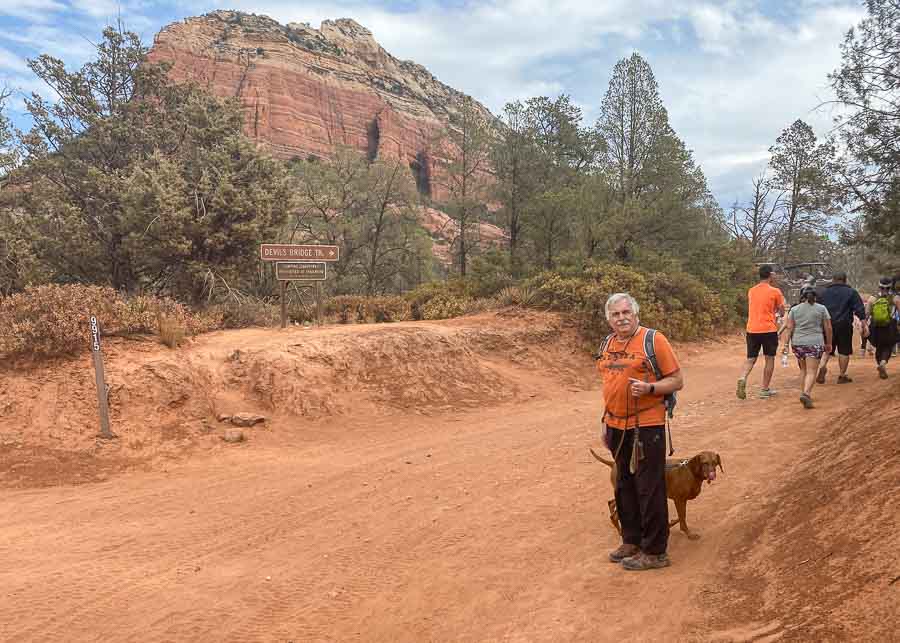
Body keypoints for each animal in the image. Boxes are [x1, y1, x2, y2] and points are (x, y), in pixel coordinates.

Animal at [592, 450, 724, 540]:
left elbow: (679, 517)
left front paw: (670, 524)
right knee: (614, 516)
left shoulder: (679, 500)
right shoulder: (679, 499)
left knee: (611, 503)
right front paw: (688, 534)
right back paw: (622, 532)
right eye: (705, 463)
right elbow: (682, 518)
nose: (712, 475)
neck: (690, 470)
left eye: (715, 463)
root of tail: (614, 464)